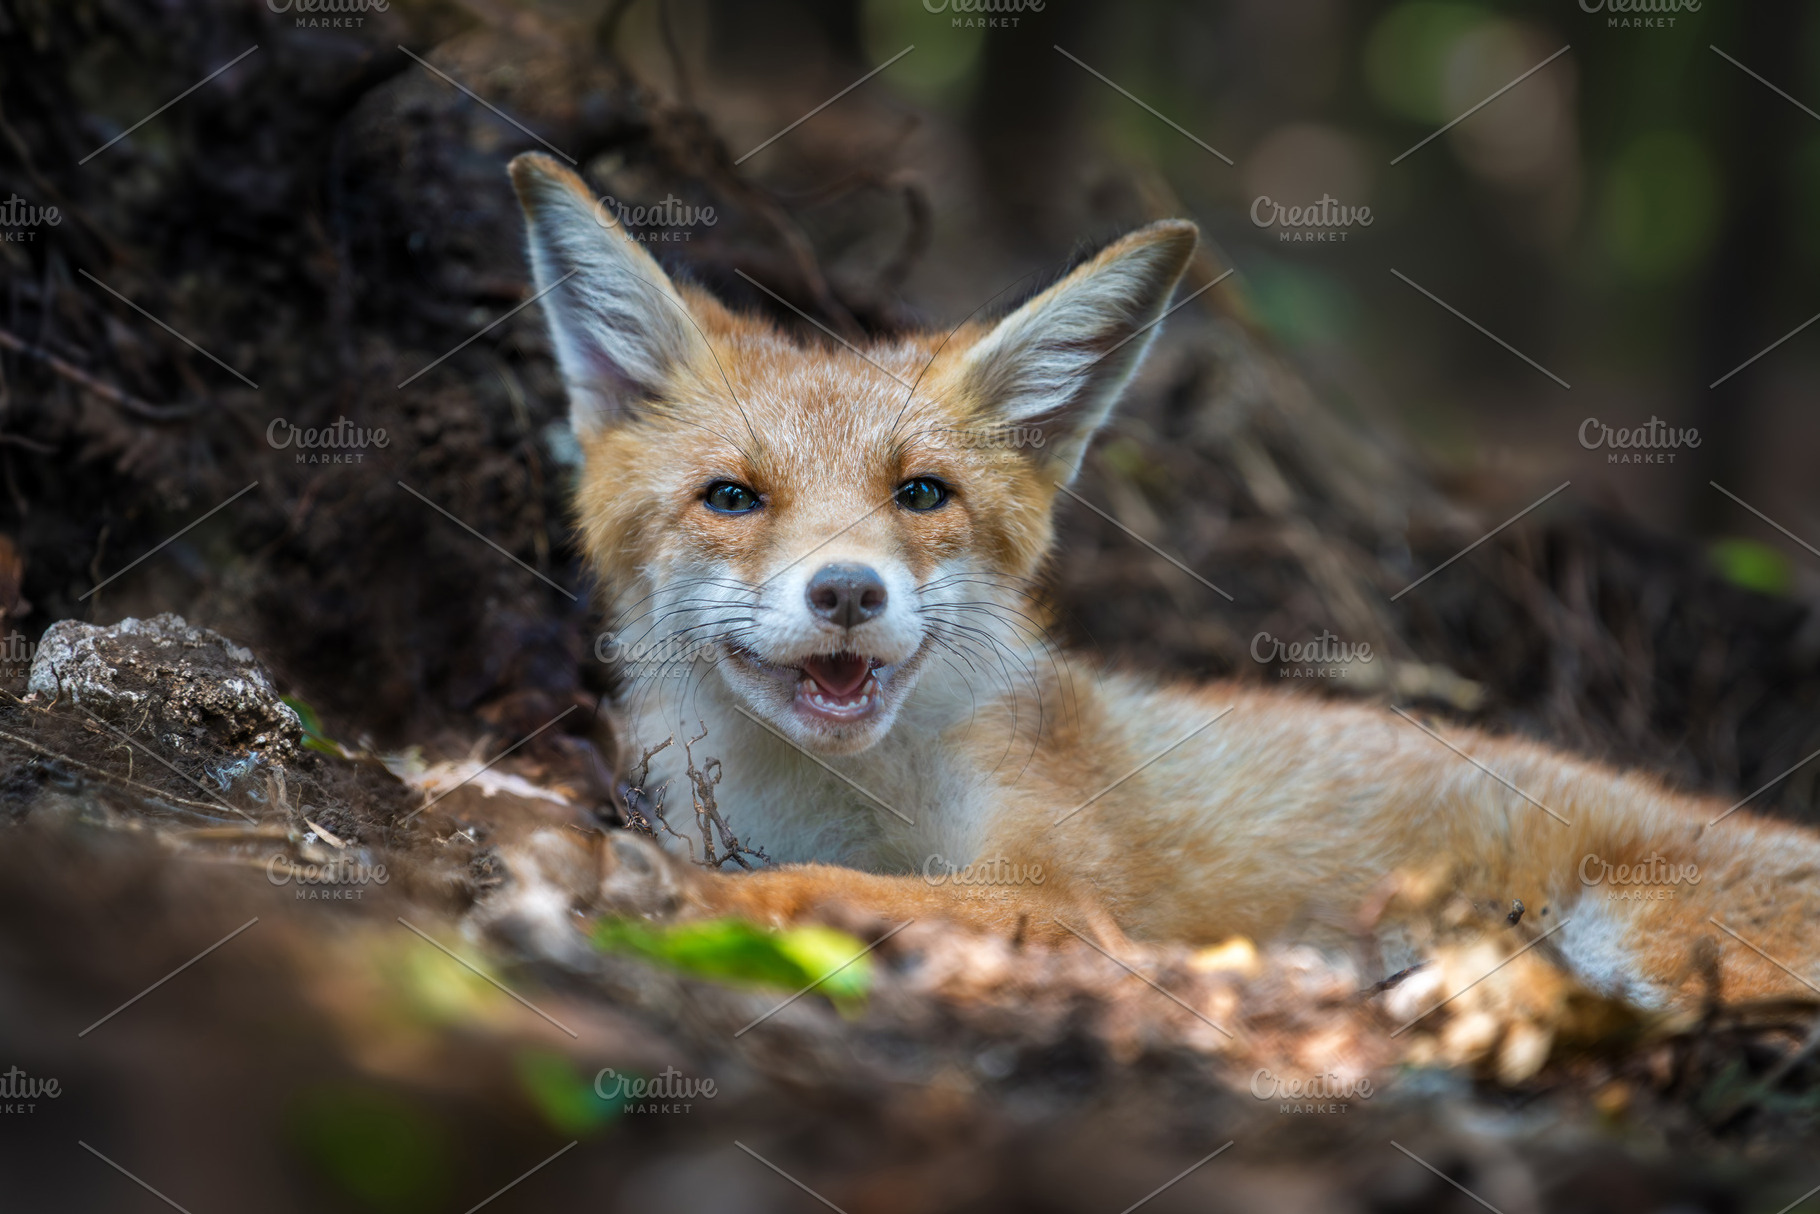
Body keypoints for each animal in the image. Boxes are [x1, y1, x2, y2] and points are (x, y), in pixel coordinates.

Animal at [508, 151, 1820, 1015]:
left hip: (1645, 940)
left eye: (920, 494)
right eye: (732, 497)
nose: (844, 592)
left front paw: (649, 885)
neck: (833, 791)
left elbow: (807, 886)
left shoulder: (1059, 889)